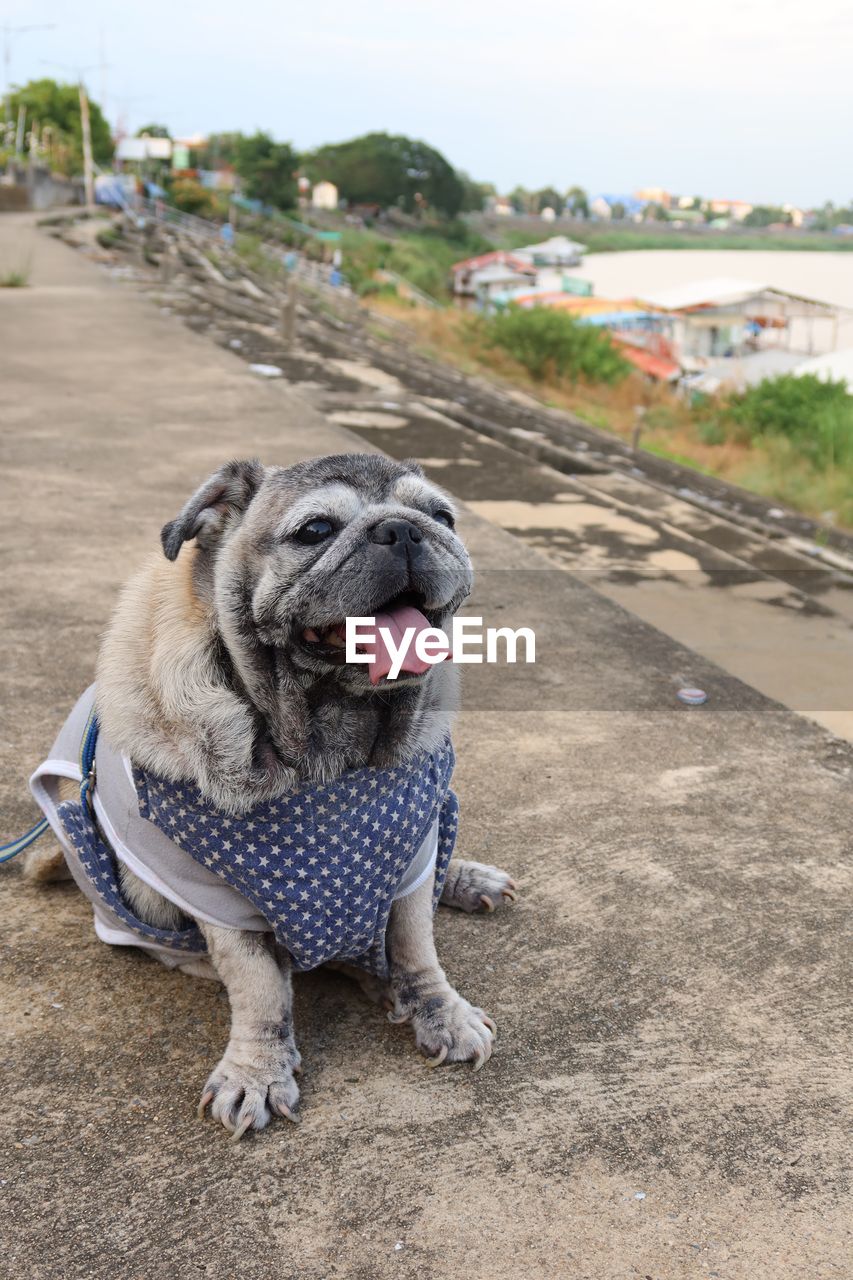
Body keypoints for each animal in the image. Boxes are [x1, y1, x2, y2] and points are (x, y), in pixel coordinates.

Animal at [26, 455, 514, 1136]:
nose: (404, 530)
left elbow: (416, 944)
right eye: (315, 530)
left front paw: (438, 1010)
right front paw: (258, 1070)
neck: (332, 740)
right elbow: (259, 988)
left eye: (442, 516)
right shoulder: (214, 898)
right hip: (144, 900)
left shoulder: (410, 857)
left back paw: (462, 885)